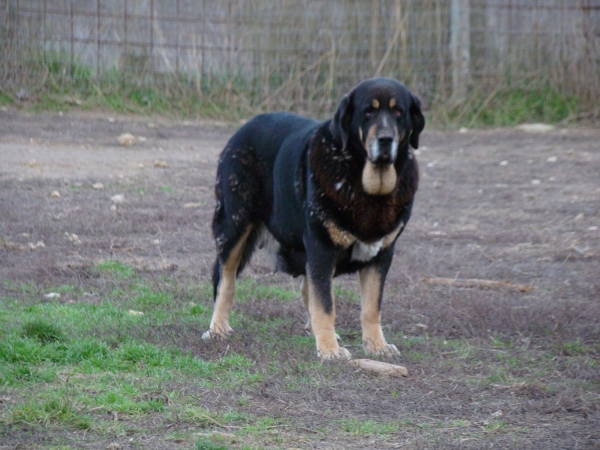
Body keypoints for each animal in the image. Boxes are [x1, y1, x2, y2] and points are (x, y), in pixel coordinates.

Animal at [204, 76, 424, 358]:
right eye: (368, 112)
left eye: (399, 112)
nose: (385, 139)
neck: (366, 187)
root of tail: (241, 130)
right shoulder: (322, 247)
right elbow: (325, 305)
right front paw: (330, 350)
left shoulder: (381, 254)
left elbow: (371, 307)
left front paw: (377, 346)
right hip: (234, 227)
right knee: (226, 281)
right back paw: (218, 329)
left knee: (306, 288)